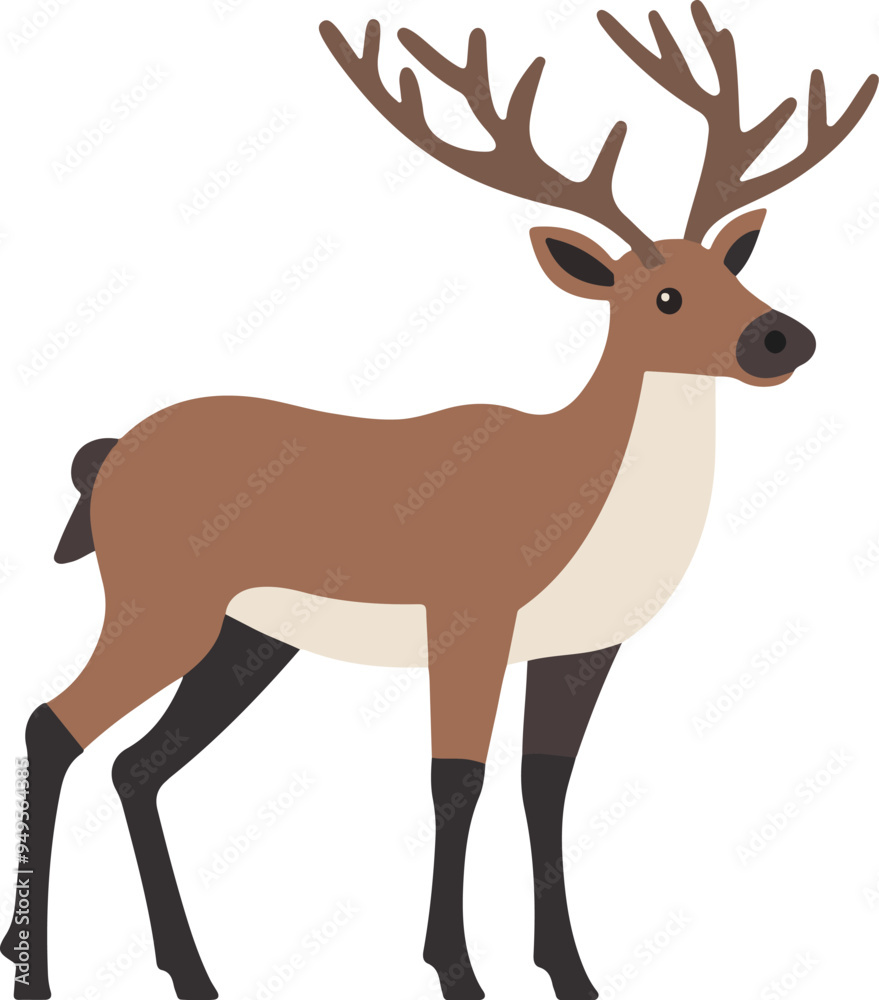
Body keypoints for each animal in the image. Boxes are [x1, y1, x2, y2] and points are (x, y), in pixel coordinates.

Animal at [3, 4, 875, 999]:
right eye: (663, 295)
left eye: (732, 270)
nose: (781, 336)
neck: (580, 504)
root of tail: (101, 458)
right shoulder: (468, 615)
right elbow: (456, 780)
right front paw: (457, 972)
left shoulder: (581, 646)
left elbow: (546, 786)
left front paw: (571, 974)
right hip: (161, 604)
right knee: (53, 725)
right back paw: (36, 972)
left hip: (246, 638)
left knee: (138, 765)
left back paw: (187, 972)